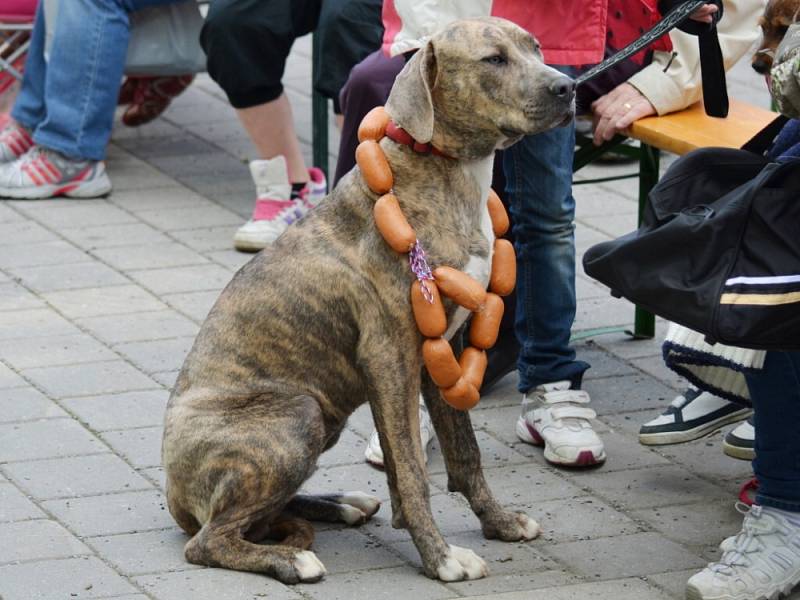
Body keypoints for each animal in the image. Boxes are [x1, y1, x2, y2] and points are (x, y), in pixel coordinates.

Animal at [164, 16, 576, 584]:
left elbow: (463, 454)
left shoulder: (442, 357)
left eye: (536, 48)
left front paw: (498, 523)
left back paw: (339, 504)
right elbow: (413, 470)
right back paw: (290, 558)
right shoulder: (391, 358)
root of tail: (172, 493)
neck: (443, 175)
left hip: (322, 420)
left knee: (261, 515)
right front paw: (441, 558)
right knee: (209, 540)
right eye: (493, 59)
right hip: (298, 415)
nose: (568, 87)